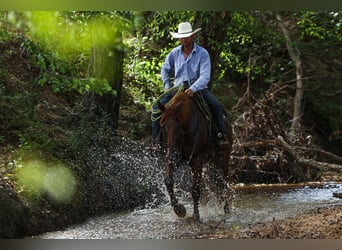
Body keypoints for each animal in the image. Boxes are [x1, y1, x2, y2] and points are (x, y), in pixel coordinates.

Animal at [157, 90, 232, 221]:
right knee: (215, 185)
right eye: (162, 126)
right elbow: (168, 181)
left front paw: (196, 216)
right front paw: (180, 210)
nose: (173, 155)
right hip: (210, 163)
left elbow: (195, 189)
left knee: (223, 183)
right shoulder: (170, 158)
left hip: (223, 158)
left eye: (178, 127)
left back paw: (226, 210)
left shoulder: (197, 160)